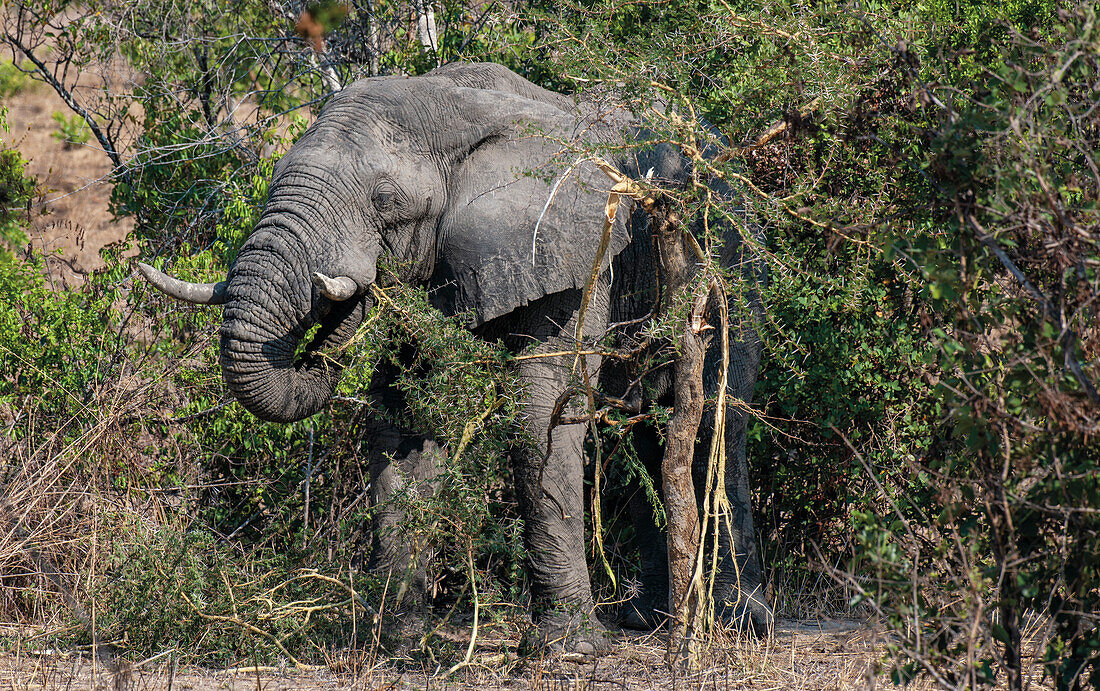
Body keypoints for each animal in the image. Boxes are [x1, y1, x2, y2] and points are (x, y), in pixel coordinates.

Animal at [139, 62, 774, 655]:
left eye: (385, 201)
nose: (334, 303)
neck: (451, 106)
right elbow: (402, 418)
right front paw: (396, 642)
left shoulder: (575, 248)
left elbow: (541, 412)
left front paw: (569, 649)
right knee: (642, 430)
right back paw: (648, 619)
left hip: (733, 267)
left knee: (715, 421)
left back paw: (738, 621)